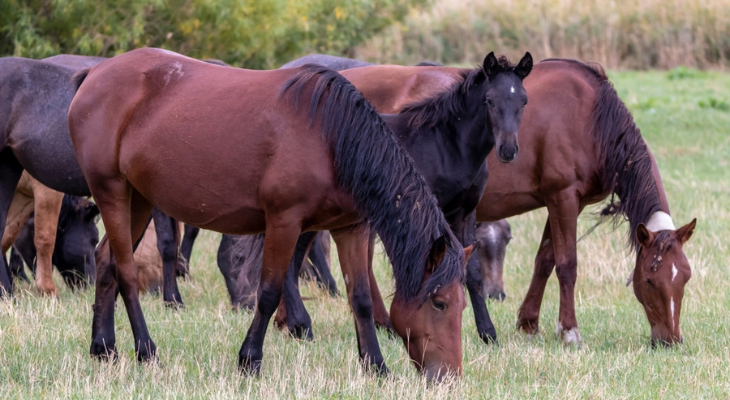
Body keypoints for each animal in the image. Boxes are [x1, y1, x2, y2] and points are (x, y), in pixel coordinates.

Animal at [69, 48, 472, 380]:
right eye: (439, 302)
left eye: (462, 304)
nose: (448, 376)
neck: (332, 136)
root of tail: (94, 74)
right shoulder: (283, 222)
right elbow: (268, 292)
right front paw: (250, 361)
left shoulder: (351, 229)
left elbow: (359, 298)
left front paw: (376, 367)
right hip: (111, 192)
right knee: (125, 272)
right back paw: (146, 351)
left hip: (137, 199)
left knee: (106, 261)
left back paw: (103, 348)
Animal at [338, 57, 696, 346]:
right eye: (649, 280)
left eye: (685, 278)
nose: (670, 340)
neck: (589, 116)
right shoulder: (563, 198)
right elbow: (567, 265)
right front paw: (569, 331)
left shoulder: (565, 202)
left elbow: (545, 260)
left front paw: (529, 322)